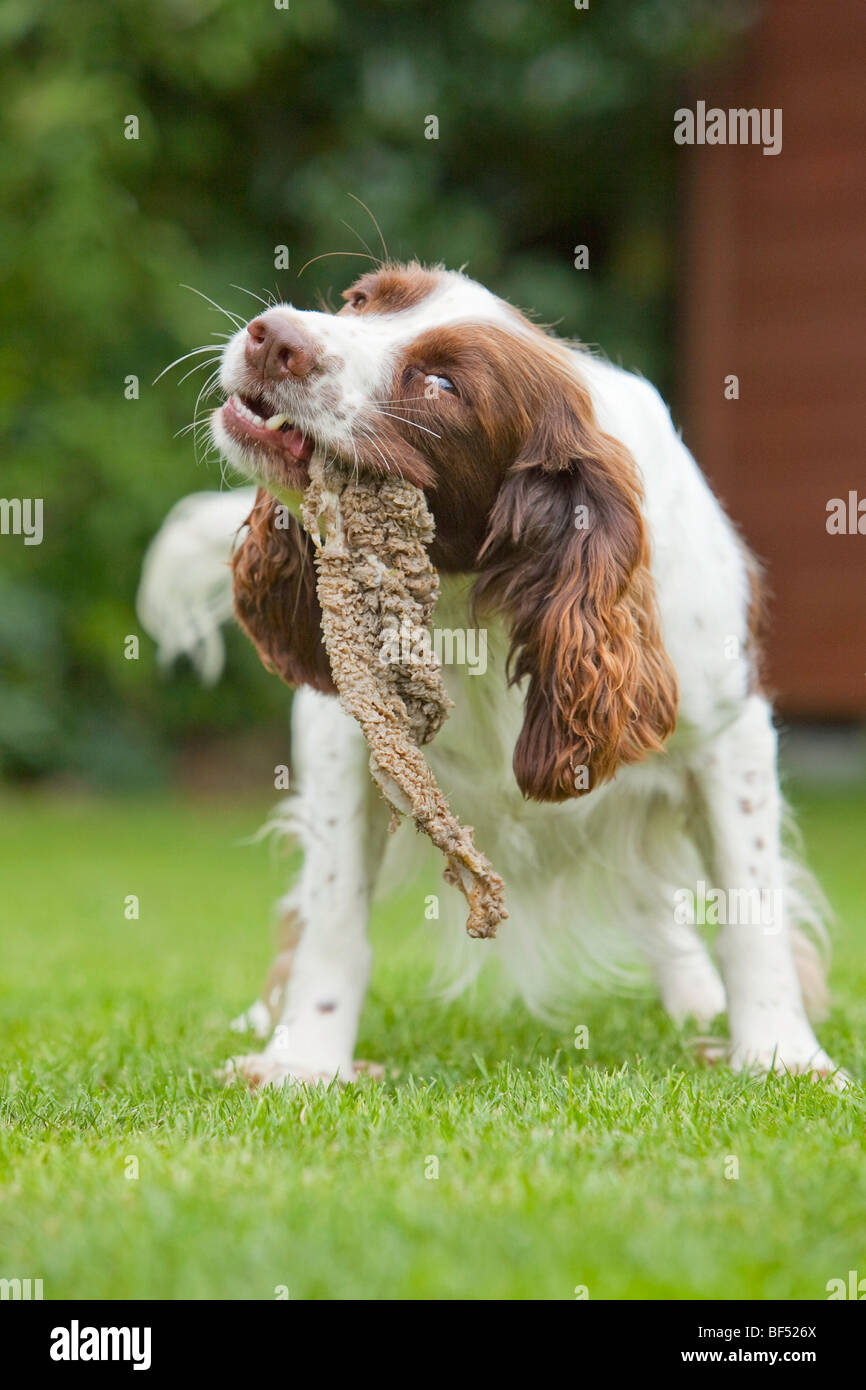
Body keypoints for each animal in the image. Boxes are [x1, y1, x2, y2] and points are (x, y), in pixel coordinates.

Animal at [139, 258, 845, 1084]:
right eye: (358, 300)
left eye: (444, 384)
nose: (272, 336)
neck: (470, 596)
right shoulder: (348, 733)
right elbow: (334, 911)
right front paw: (304, 1061)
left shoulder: (728, 736)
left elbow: (752, 904)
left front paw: (782, 1054)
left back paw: (700, 1001)